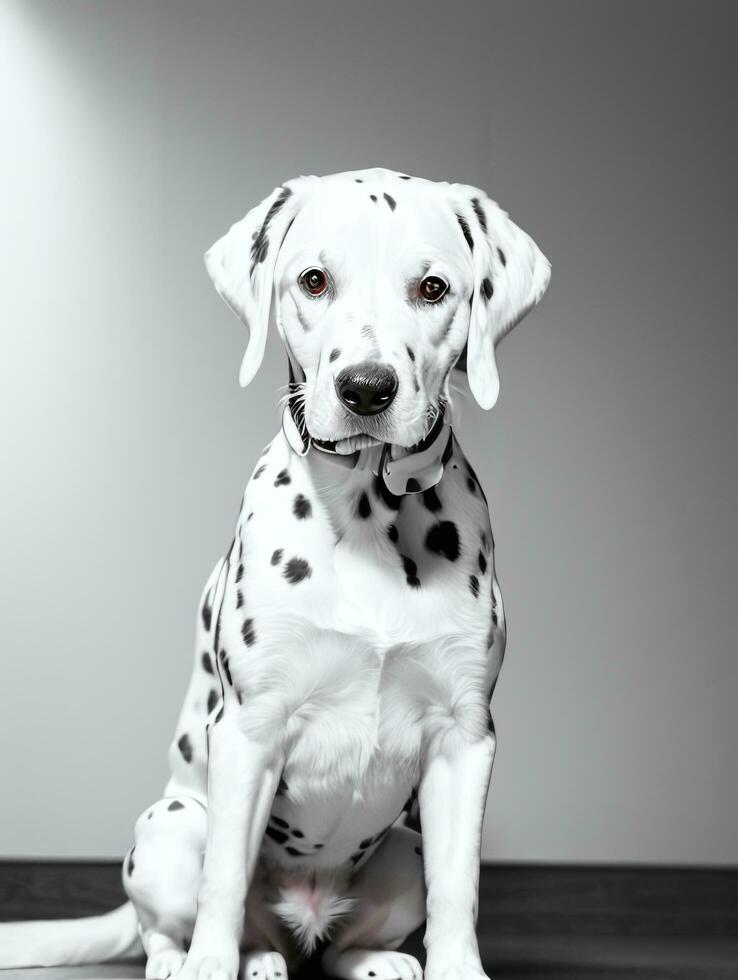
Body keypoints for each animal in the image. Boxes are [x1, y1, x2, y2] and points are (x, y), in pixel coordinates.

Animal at [0, 170, 548, 980]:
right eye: (314, 281)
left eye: (433, 288)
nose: (366, 388)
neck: (368, 513)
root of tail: (303, 918)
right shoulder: (248, 732)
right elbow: (224, 881)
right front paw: (208, 963)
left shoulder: (464, 739)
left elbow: (460, 888)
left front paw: (458, 969)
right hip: (169, 828)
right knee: (175, 921)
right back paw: (206, 960)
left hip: (402, 850)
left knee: (340, 945)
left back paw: (369, 960)